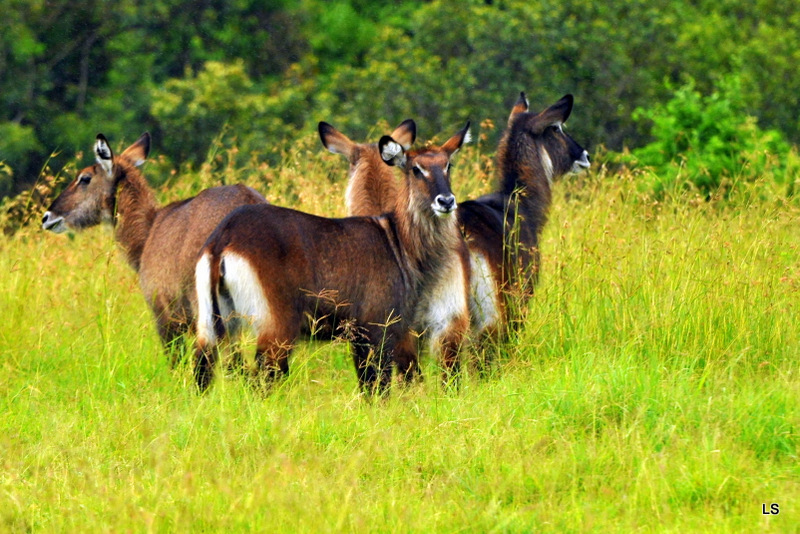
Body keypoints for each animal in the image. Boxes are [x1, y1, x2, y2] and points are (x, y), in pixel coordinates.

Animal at [195, 123, 472, 396]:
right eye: (416, 169)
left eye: (448, 165)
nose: (446, 201)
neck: (397, 240)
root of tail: (224, 236)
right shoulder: (376, 328)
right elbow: (377, 386)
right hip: (275, 327)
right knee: (262, 377)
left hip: (210, 322)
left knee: (202, 368)